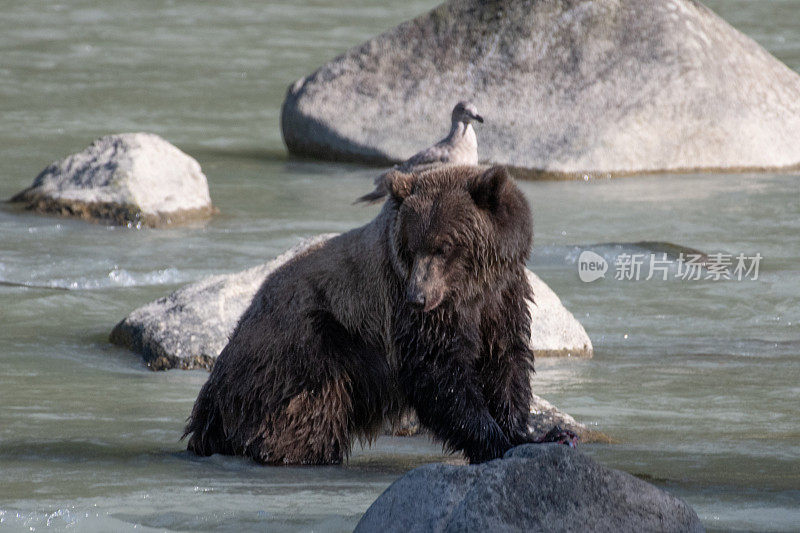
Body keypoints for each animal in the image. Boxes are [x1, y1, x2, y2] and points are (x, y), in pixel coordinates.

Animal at [184, 164, 572, 464]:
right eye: (412, 248)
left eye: (444, 246)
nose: (418, 297)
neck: (470, 288)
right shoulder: (411, 306)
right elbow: (438, 370)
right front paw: (495, 441)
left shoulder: (502, 297)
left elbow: (505, 360)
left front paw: (534, 433)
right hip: (304, 346)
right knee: (306, 410)